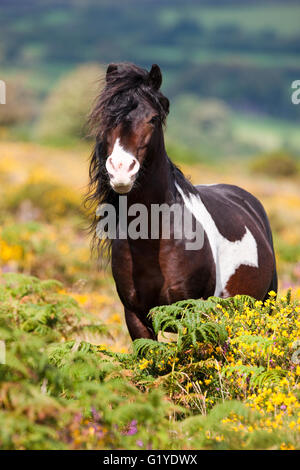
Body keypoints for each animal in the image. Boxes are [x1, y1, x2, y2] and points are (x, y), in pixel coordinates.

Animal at [85, 62, 278, 342]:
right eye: (106, 118)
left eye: (153, 118)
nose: (121, 170)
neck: (152, 240)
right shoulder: (135, 317)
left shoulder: (191, 312)